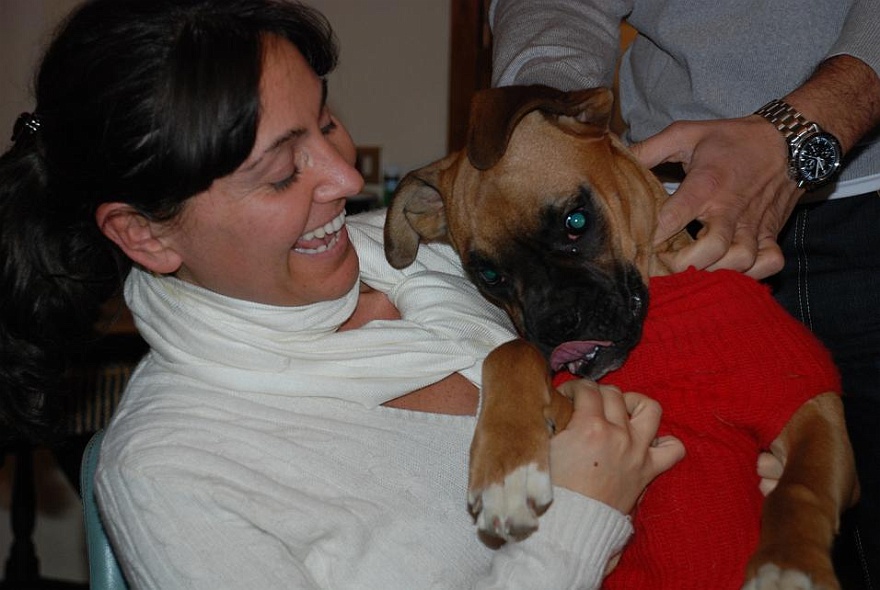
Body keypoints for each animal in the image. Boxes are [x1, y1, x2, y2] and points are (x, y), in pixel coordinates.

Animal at [384, 84, 860, 590]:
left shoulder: (810, 406)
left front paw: (789, 565)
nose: (557, 326)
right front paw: (508, 471)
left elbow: (800, 486)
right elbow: (511, 351)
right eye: (489, 275)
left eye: (575, 221)